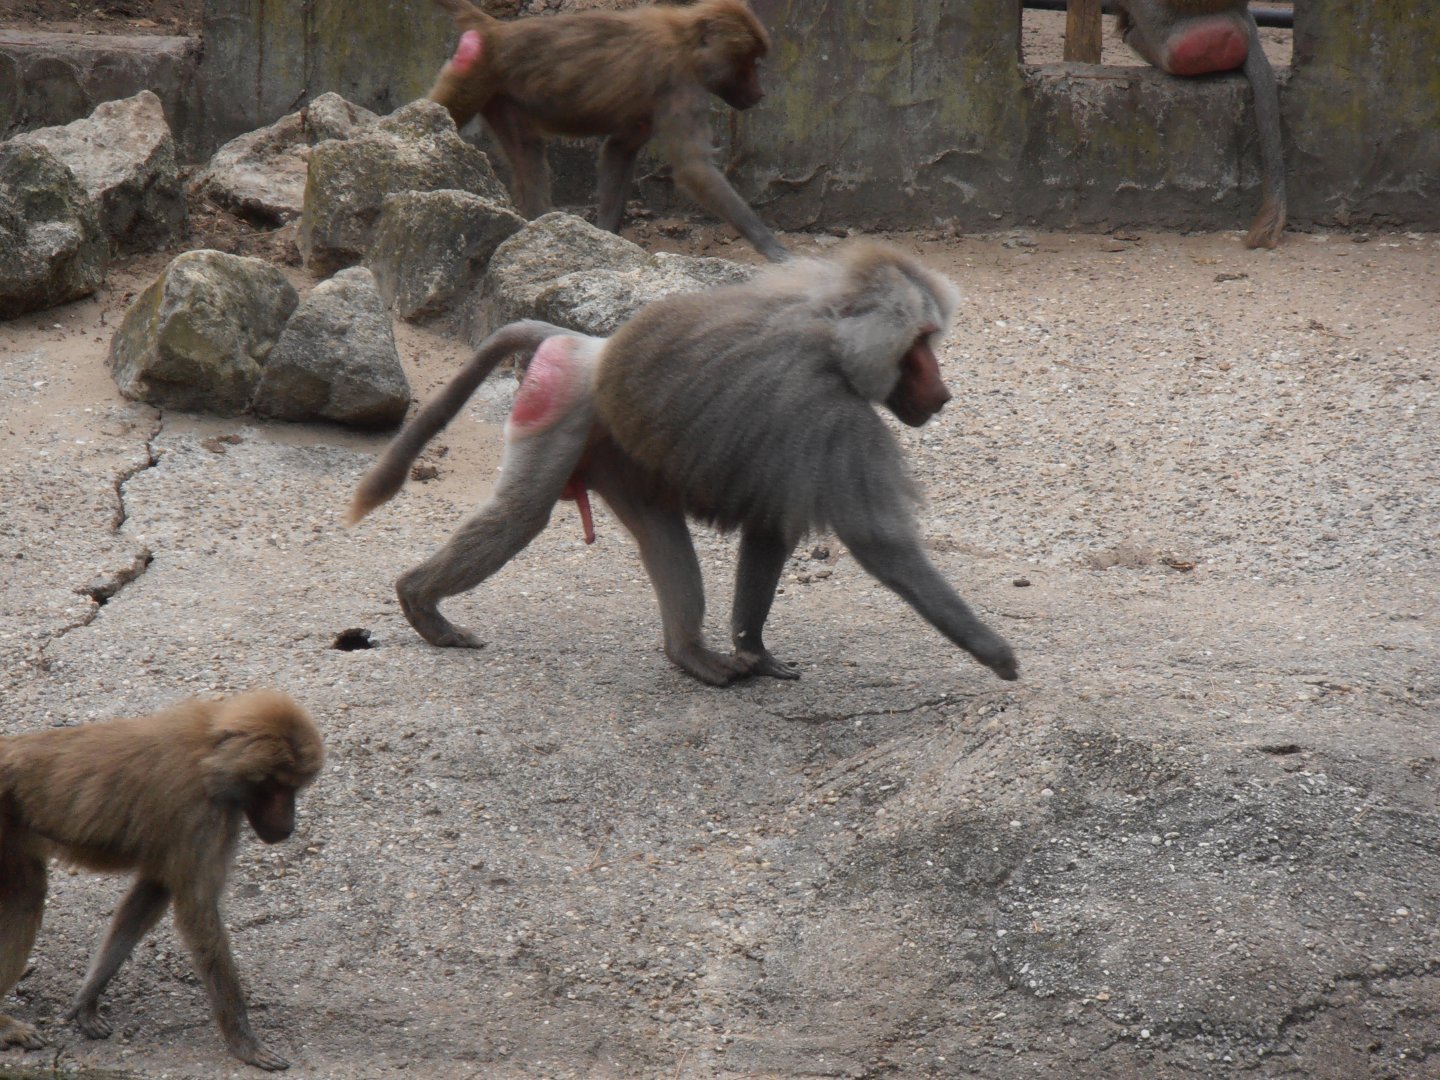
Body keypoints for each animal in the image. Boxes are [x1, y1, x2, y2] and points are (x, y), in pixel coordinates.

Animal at [0, 691, 324, 1071]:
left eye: (293, 787)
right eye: (277, 785)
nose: (288, 827)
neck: (209, 755)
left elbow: (149, 896)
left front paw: (86, 1002)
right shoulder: (200, 815)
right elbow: (198, 914)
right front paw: (244, 1042)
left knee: (26, 892)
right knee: (27, 898)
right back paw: (5, 1027)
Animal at [348, 243, 1019, 686]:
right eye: (921, 344)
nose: (944, 394)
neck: (832, 338)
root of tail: (584, 343)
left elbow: (769, 532)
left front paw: (757, 651)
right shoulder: (832, 420)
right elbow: (881, 543)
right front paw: (995, 652)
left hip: (616, 453)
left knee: (660, 534)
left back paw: (691, 656)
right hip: (560, 405)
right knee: (520, 515)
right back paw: (420, 604)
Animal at [426, 0, 790, 262]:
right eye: (749, 63)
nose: (759, 94)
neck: (685, 41)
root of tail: (493, 29)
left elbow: (620, 149)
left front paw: (605, 238)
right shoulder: (679, 84)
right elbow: (693, 167)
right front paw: (772, 247)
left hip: (500, 95)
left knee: (527, 150)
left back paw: (538, 226)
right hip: (475, 73)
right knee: (441, 112)